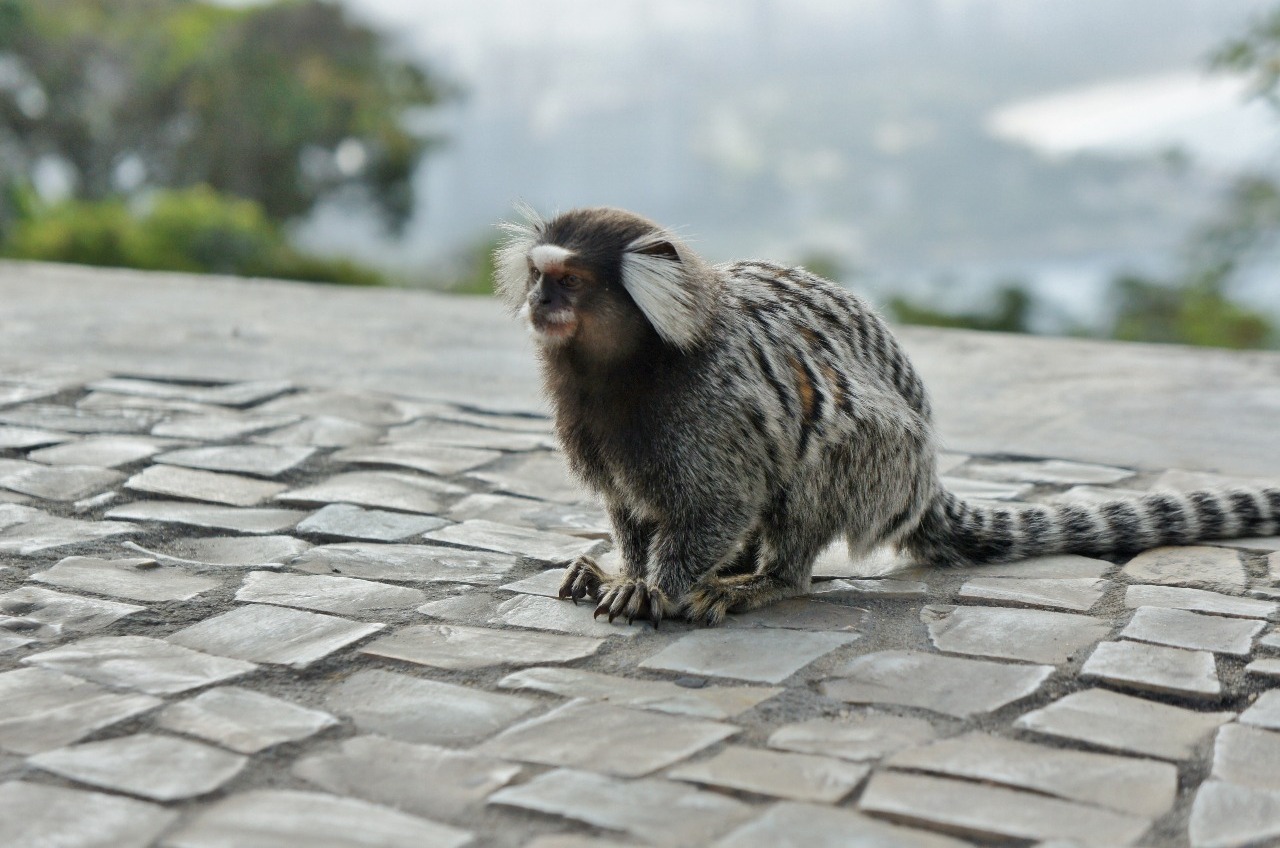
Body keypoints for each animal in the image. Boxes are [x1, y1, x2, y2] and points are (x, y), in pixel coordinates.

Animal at [494, 205, 1280, 628]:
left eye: (569, 281)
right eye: (539, 275)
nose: (540, 300)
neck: (630, 368)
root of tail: (926, 483)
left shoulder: (709, 410)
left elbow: (717, 504)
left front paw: (658, 586)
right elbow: (630, 507)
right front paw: (625, 569)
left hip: (887, 462)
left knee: (826, 446)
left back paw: (762, 581)